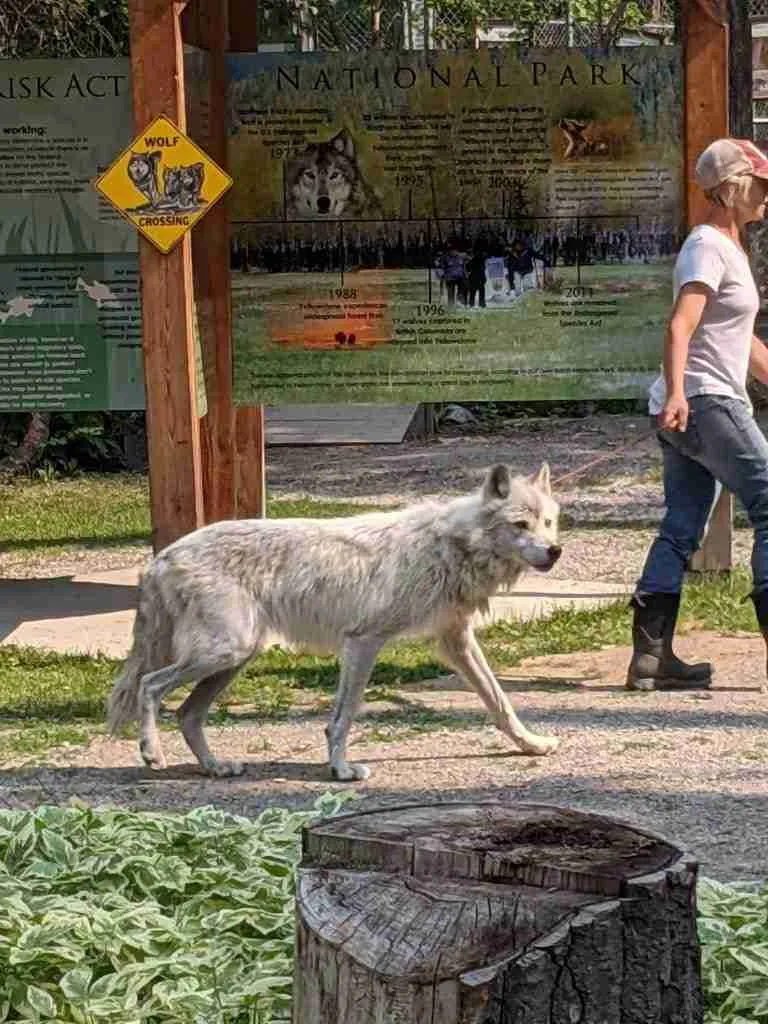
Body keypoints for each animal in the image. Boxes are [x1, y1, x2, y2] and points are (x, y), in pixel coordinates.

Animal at [108, 463, 561, 781]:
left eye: (549, 522)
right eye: (520, 524)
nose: (555, 551)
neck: (452, 545)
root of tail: (160, 558)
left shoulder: (456, 641)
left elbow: (500, 702)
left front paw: (532, 744)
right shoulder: (363, 642)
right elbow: (344, 716)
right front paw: (341, 770)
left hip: (234, 659)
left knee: (187, 714)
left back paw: (215, 767)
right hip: (225, 653)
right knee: (150, 685)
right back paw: (152, 753)